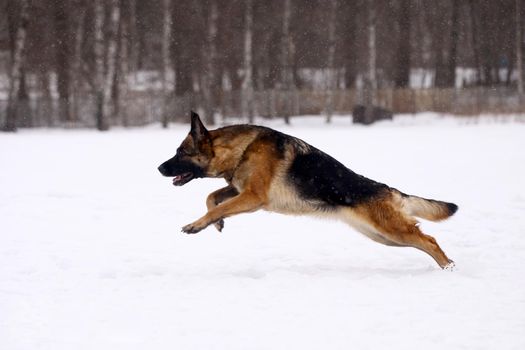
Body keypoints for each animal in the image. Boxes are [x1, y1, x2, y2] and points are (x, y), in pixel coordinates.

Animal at [158, 111, 456, 268]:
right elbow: (212, 197)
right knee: (423, 241)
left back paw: (449, 268)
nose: (159, 168)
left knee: (429, 240)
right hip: (382, 236)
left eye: (181, 152)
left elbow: (214, 203)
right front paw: (216, 221)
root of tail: (388, 189)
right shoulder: (239, 190)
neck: (240, 149)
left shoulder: (253, 197)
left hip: (390, 230)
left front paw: (197, 224)